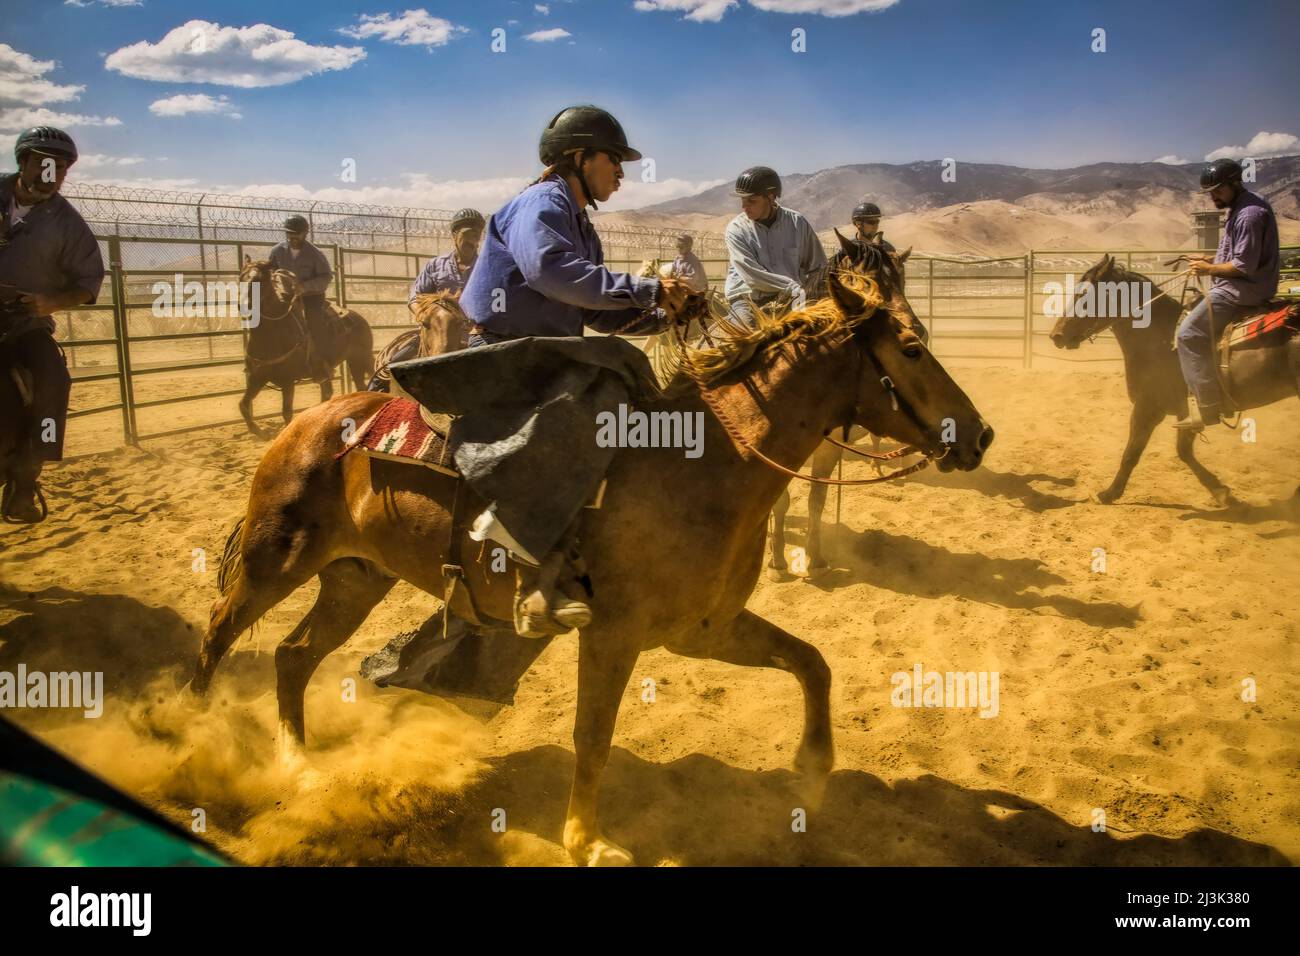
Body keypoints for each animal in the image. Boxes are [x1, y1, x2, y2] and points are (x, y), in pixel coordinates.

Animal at [237, 261, 374, 442]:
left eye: (261, 280)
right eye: (241, 277)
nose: (244, 306)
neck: (271, 336)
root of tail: (359, 318)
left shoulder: (287, 381)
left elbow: (287, 412)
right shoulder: (256, 378)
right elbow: (244, 405)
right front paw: (260, 432)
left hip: (360, 358)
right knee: (331, 392)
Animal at [1050, 254, 1294, 509]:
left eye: (1083, 295)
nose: (1057, 335)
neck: (1162, 339)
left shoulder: (1148, 407)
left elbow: (1132, 453)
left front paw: (1109, 493)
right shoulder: (1185, 410)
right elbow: (1183, 451)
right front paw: (1220, 491)